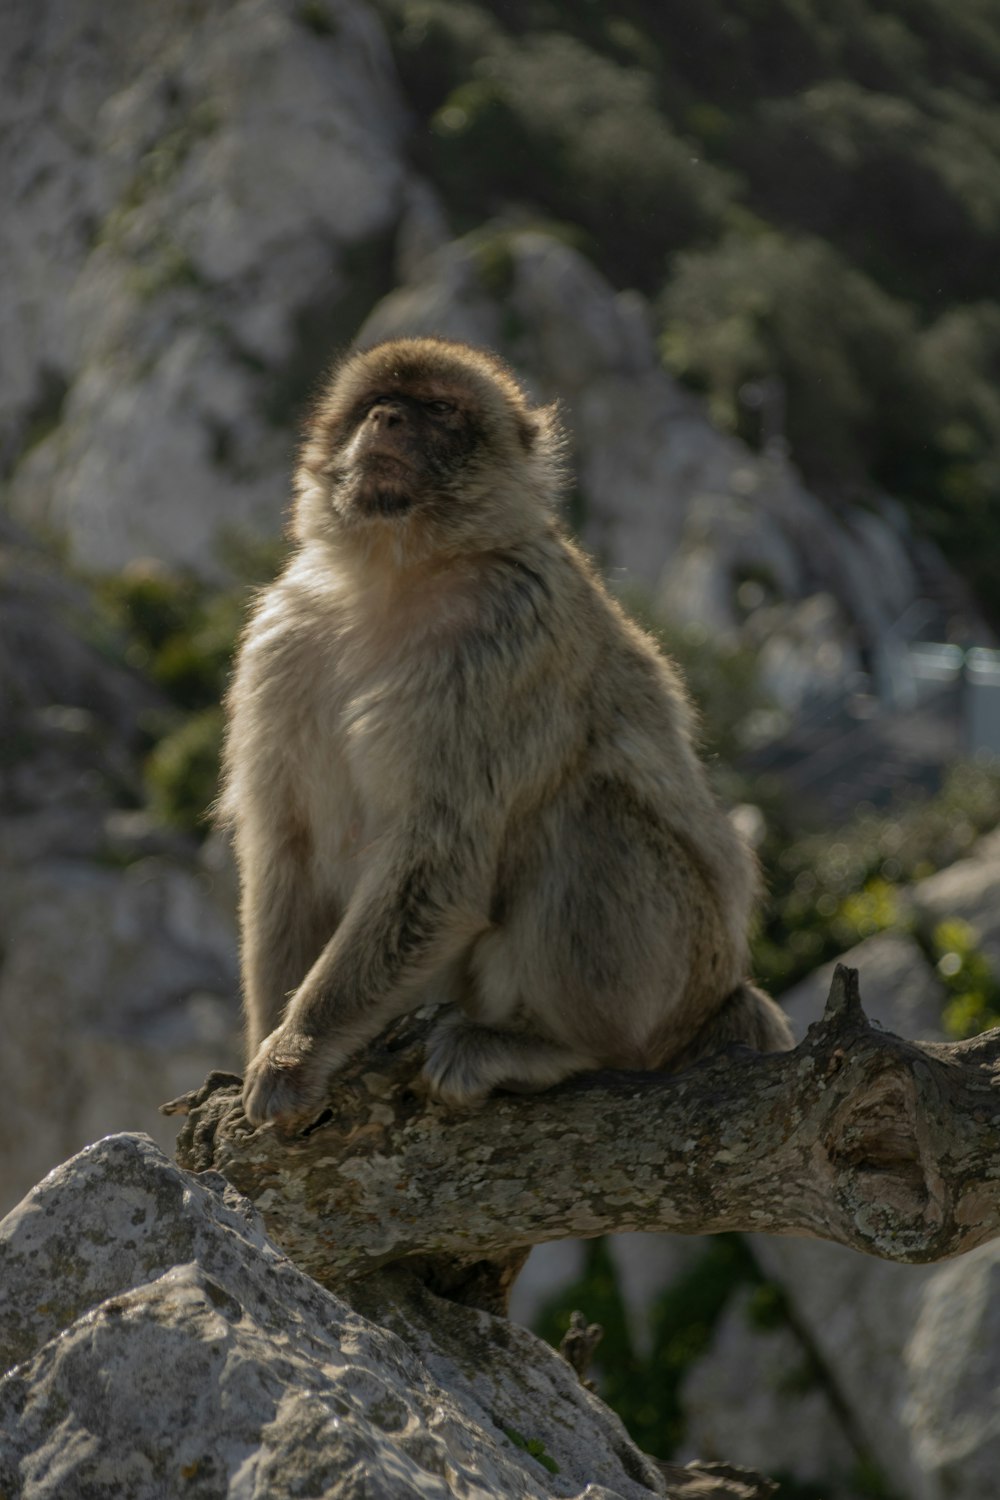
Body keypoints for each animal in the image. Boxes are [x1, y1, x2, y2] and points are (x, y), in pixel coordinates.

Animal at [223, 331, 791, 1128]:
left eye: (439, 409)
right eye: (378, 403)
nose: (388, 421)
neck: (394, 576)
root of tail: (724, 1000)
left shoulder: (507, 636)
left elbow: (439, 857)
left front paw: (296, 1051)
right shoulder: (279, 643)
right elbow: (287, 848)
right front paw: (266, 1043)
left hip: (683, 971)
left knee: (591, 811)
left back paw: (562, 1047)